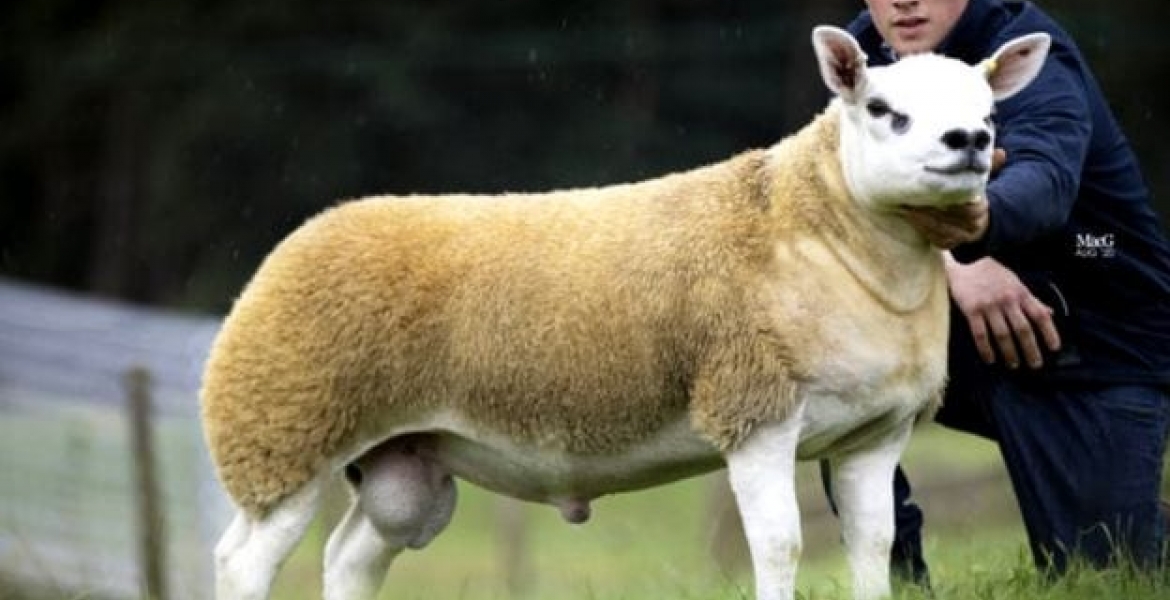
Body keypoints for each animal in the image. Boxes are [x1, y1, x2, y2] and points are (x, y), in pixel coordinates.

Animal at [202, 25, 1050, 600]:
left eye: (989, 111)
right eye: (882, 109)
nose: (969, 140)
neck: (823, 230)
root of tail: (306, 235)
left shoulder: (878, 432)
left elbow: (874, 545)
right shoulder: (753, 409)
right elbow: (779, 546)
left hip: (401, 460)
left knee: (350, 555)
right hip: (282, 432)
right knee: (242, 562)